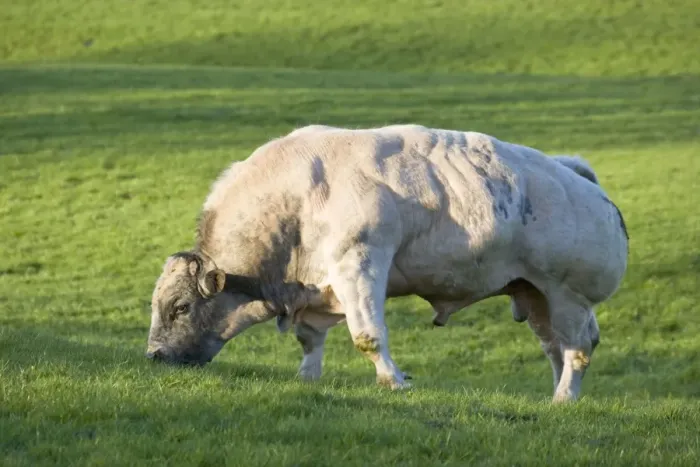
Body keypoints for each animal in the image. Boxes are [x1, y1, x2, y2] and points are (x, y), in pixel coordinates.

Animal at [146, 124, 629, 403]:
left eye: (180, 307)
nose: (153, 356)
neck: (295, 197)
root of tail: (580, 178)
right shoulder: (316, 289)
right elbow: (309, 339)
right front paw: (307, 379)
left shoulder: (359, 266)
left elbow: (368, 336)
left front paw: (394, 381)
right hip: (535, 295)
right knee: (555, 348)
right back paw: (557, 398)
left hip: (569, 298)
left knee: (577, 349)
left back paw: (564, 399)